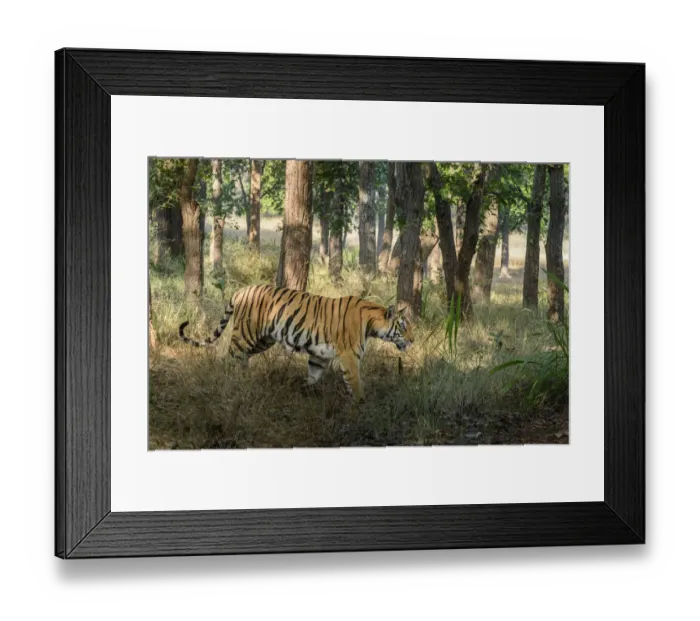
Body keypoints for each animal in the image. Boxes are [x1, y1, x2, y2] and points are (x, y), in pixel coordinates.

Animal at [178, 284, 414, 402]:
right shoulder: (349, 357)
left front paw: (304, 392)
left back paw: (244, 379)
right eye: (403, 327)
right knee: (229, 358)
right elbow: (355, 384)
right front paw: (361, 405)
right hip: (245, 334)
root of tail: (241, 290)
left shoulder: (320, 356)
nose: (412, 340)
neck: (371, 323)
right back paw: (229, 382)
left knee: (241, 359)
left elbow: (313, 376)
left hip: (263, 340)